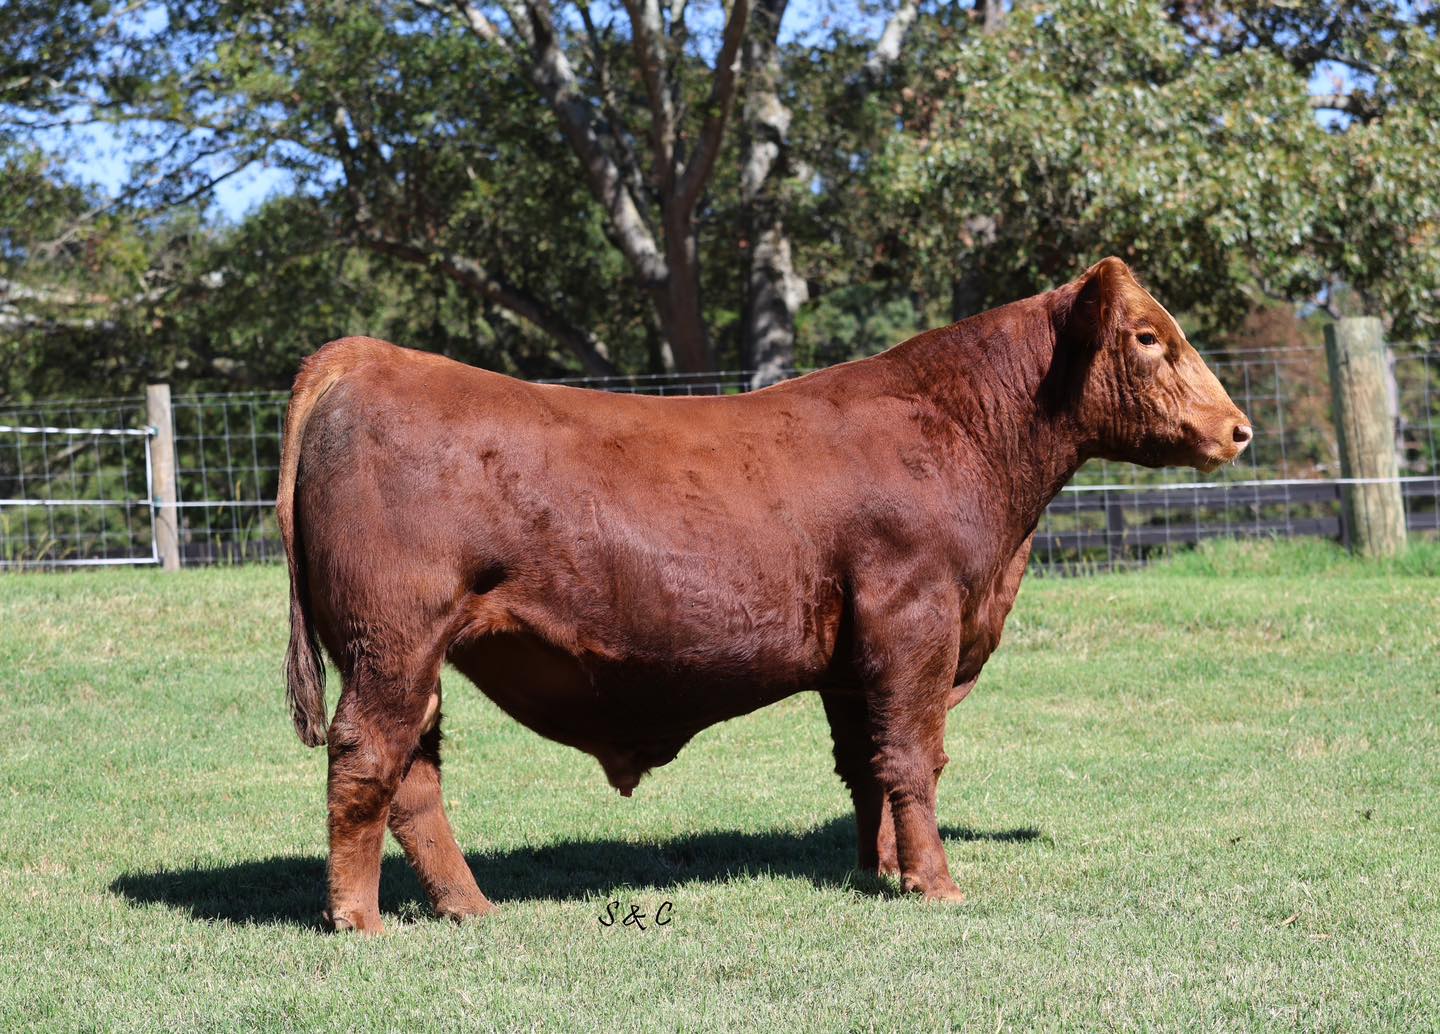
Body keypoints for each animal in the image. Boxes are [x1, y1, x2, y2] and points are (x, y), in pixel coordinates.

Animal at [276, 257, 1251, 933]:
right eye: (1149, 337)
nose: (1238, 429)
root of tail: (368, 358)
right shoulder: (915, 620)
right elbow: (914, 757)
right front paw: (935, 884)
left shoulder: (855, 660)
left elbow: (867, 765)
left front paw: (879, 871)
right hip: (392, 641)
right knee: (367, 757)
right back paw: (358, 920)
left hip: (418, 655)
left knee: (415, 776)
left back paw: (468, 907)